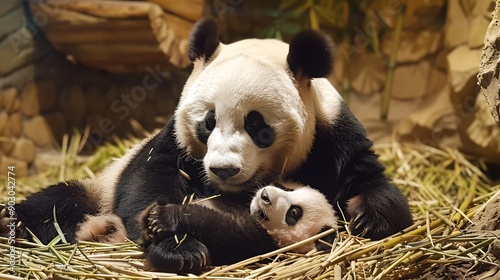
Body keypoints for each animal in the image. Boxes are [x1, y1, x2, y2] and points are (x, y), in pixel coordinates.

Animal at [0, 18, 410, 274]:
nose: (223, 169)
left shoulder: (332, 133)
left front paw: (368, 215)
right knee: (59, 201)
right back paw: (14, 223)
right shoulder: (174, 141)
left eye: (258, 126)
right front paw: (179, 248)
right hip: (97, 188)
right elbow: (149, 179)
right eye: (208, 121)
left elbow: (369, 177)